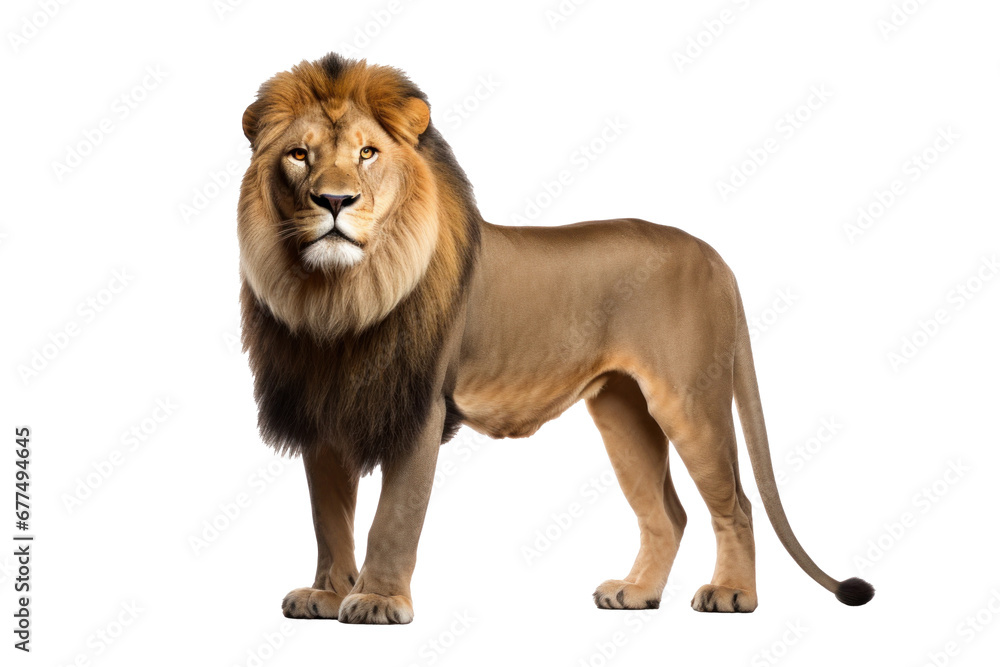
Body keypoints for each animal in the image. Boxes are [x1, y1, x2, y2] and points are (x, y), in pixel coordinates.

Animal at [237, 53, 874, 625]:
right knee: (669, 513)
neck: (338, 299)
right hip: (622, 409)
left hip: (690, 399)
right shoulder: (320, 409)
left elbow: (393, 517)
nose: (334, 201)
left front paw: (375, 600)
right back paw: (636, 593)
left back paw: (733, 593)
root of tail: (713, 254)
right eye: (299, 155)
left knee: (736, 503)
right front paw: (326, 595)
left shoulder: (421, 405)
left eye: (367, 153)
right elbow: (329, 518)